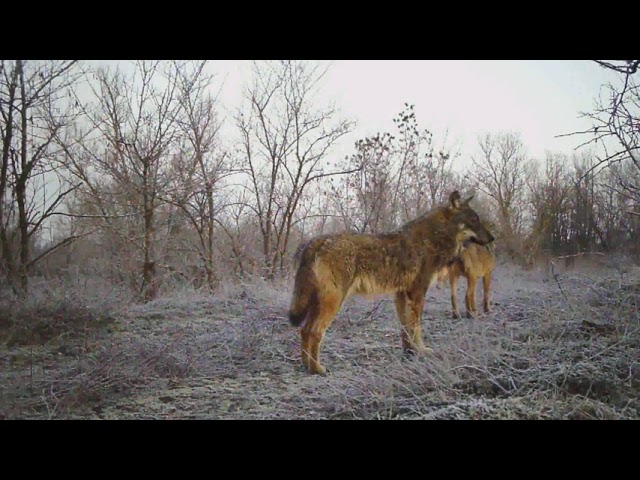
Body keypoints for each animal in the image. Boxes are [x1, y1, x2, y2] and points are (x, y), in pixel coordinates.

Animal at [288, 191, 492, 376]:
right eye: (474, 220)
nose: (493, 238)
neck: (433, 237)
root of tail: (314, 242)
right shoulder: (418, 293)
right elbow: (416, 327)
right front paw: (421, 350)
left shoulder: (400, 294)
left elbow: (405, 328)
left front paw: (409, 352)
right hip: (333, 302)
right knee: (315, 332)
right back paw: (317, 369)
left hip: (319, 304)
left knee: (304, 330)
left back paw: (306, 365)